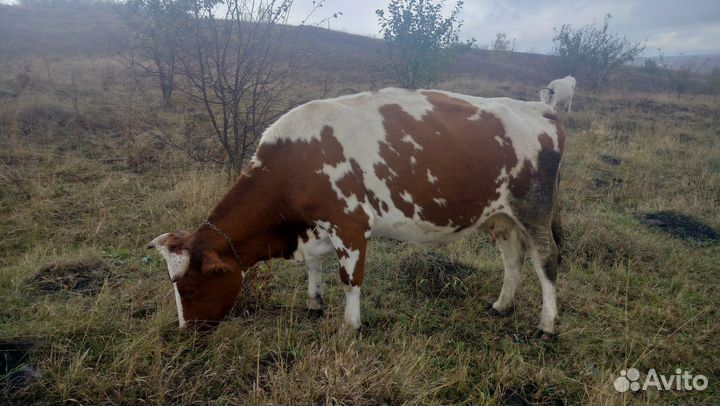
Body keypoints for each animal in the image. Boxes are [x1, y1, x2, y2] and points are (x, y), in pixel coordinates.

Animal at [148, 87, 566, 339]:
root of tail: (539, 108)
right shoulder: (315, 228)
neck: (293, 164)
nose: (185, 331)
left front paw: (350, 327)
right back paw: (501, 305)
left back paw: (546, 325)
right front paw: (314, 304)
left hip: (533, 208)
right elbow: (313, 266)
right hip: (501, 217)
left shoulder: (349, 223)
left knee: (546, 260)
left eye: (189, 287)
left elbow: (350, 280)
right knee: (512, 259)